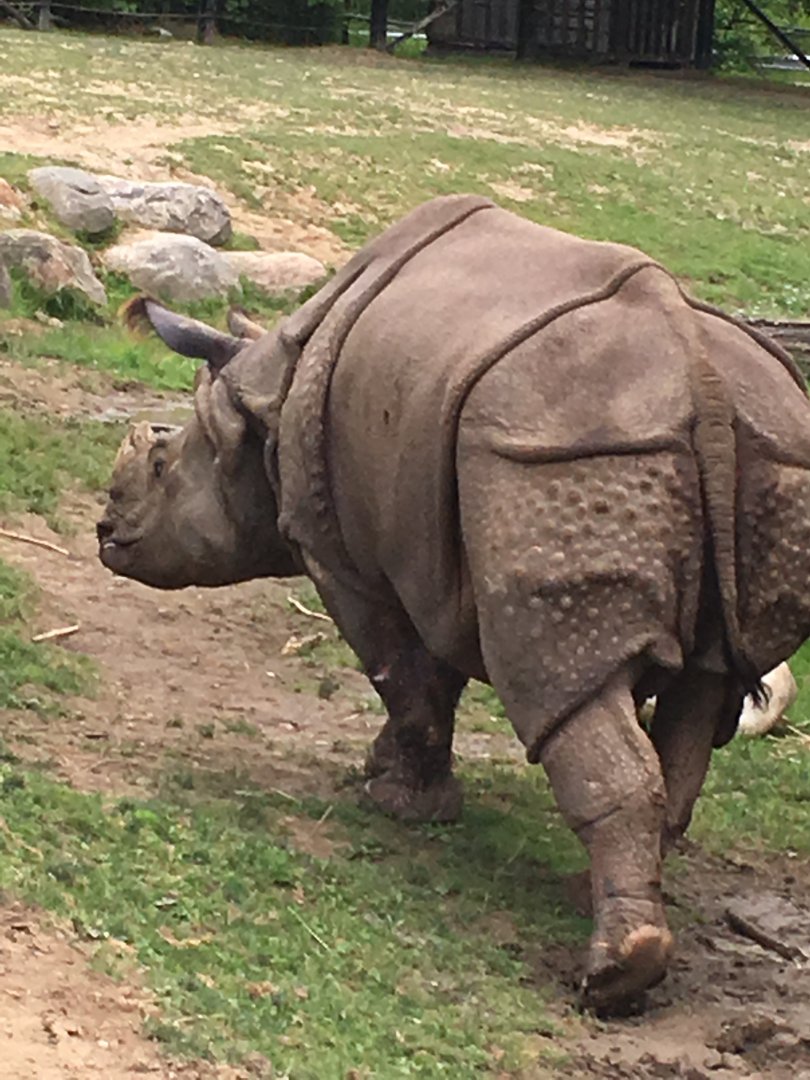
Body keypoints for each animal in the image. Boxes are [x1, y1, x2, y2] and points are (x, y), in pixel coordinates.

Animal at [97, 195, 810, 1013]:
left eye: (158, 464)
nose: (105, 533)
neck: (261, 403)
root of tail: (703, 380)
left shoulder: (340, 549)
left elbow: (399, 671)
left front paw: (400, 804)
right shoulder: (434, 548)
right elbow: (430, 674)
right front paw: (388, 774)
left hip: (554, 458)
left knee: (556, 686)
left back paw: (610, 978)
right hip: (761, 457)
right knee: (704, 687)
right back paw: (590, 901)